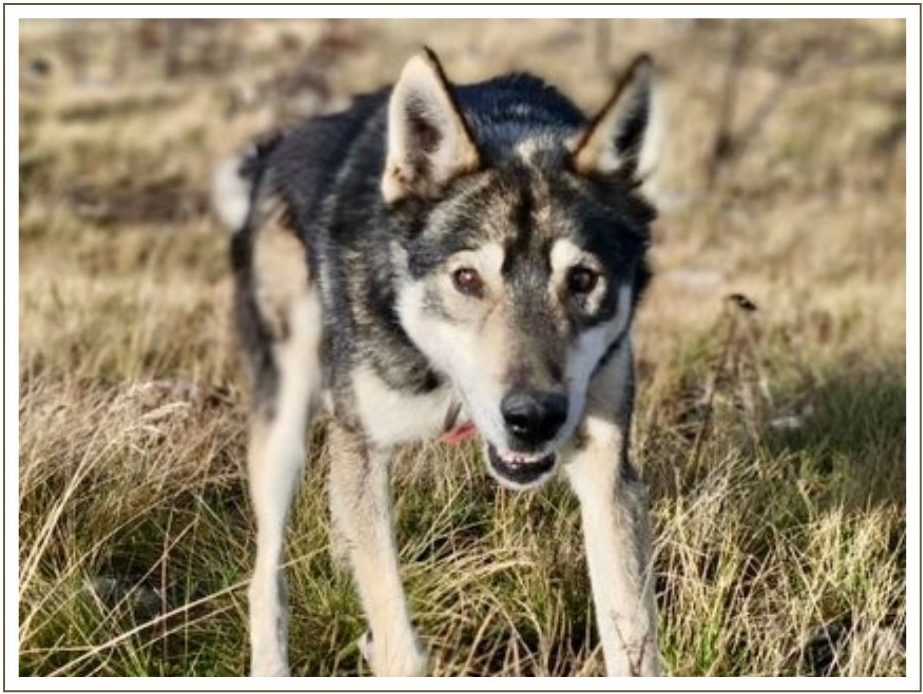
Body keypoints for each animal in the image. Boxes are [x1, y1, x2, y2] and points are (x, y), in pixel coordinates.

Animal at [217, 49, 664, 680]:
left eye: (582, 280)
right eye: (467, 279)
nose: (533, 418)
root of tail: (274, 151)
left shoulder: (608, 472)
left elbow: (633, 638)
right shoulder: (363, 442)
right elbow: (398, 641)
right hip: (284, 426)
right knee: (265, 578)